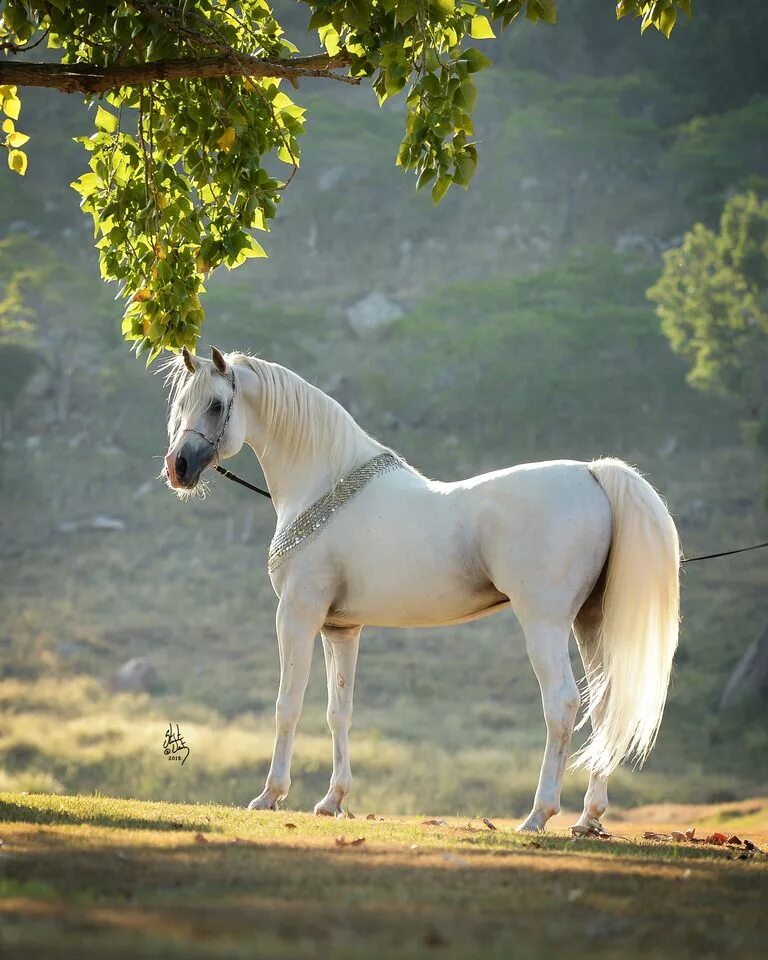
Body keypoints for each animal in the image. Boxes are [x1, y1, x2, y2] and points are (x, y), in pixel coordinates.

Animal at [164, 346, 680, 832]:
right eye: (181, 404)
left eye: (216, 404)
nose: (178, 467)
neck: (326, 485)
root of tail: (592, 473)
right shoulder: (341, 629)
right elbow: (338, 711)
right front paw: (333, 801)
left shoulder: (297, 615)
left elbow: (286, 705)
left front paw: (270, 795)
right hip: (588, 623)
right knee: (605, 707)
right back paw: (588, 817)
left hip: (544, 623)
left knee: (563, 705)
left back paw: (539, 814)